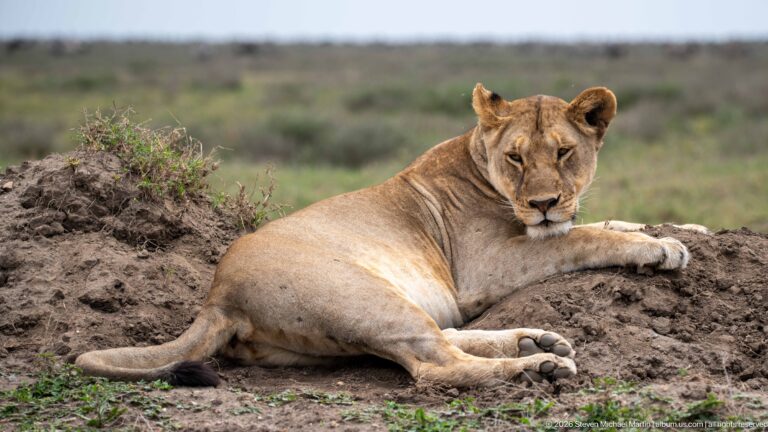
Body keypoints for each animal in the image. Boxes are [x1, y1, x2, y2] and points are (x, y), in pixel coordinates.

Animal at [76, 84, 705, 387]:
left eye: (565, 152)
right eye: (517, 157)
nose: (544, 203)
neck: (478, 160)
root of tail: (216, 295)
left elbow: (608, 221)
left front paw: (686, 226)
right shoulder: (486, 267)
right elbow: (583, 237)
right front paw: (660, 250)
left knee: (442, 339)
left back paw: (536, 341)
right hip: (365, 294)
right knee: (436, 365)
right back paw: (537, 366)